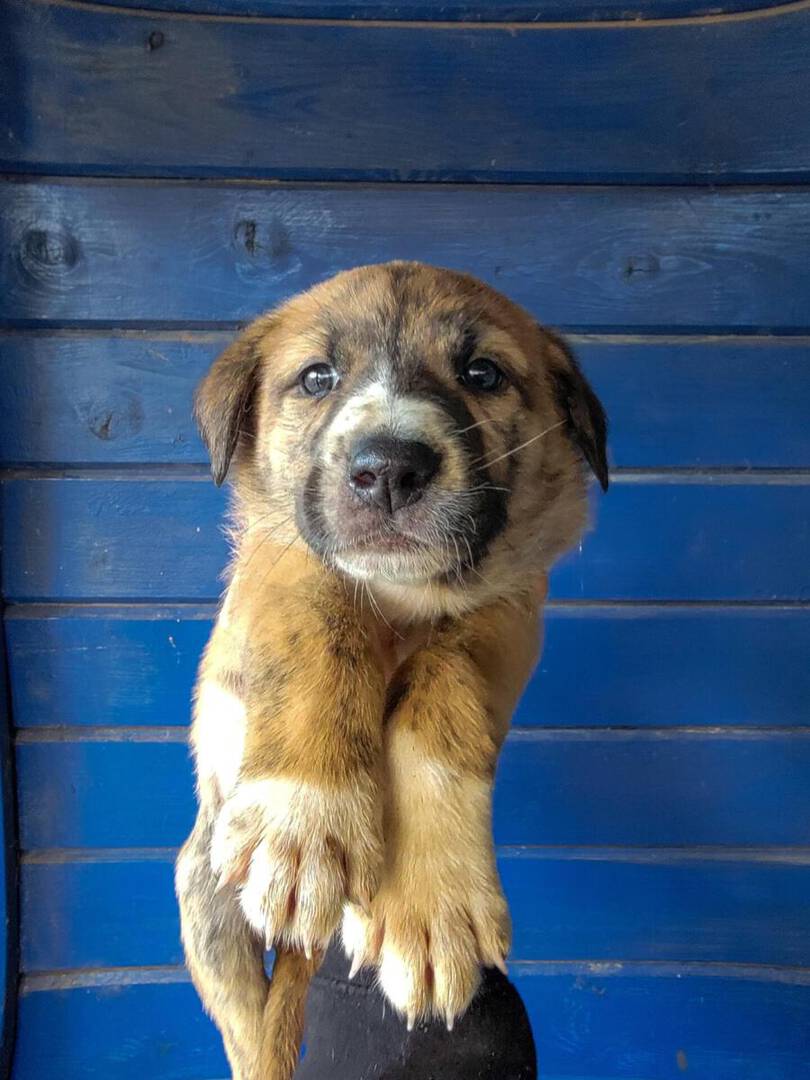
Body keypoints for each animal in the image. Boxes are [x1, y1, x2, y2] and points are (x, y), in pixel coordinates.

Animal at [176, 261, 608, 1080]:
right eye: (317, 377)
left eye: (482, 373)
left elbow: (442, 694)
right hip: (207, 890)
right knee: (252, 1031)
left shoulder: (507, 607)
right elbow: (320, 618)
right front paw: (303, 815)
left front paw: (431, 905)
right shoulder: (277, 557)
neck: (403, 591)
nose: (389, 470)